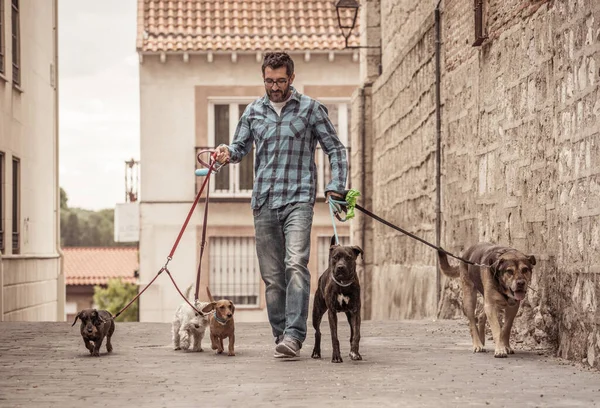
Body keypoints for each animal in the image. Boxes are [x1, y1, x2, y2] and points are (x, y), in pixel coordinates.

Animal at [312, 236, 364, 364]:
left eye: (349, 257)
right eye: (335, 257)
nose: (340, 267)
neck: (343, 284)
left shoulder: (355, 312)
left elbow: (356, 334)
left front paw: (355, 353)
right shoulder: (332, 312)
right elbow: (334, 336)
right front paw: (336, 356)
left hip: (349, 315)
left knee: (352, 333)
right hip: (317, 313)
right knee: (318, 332)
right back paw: (316, 352)